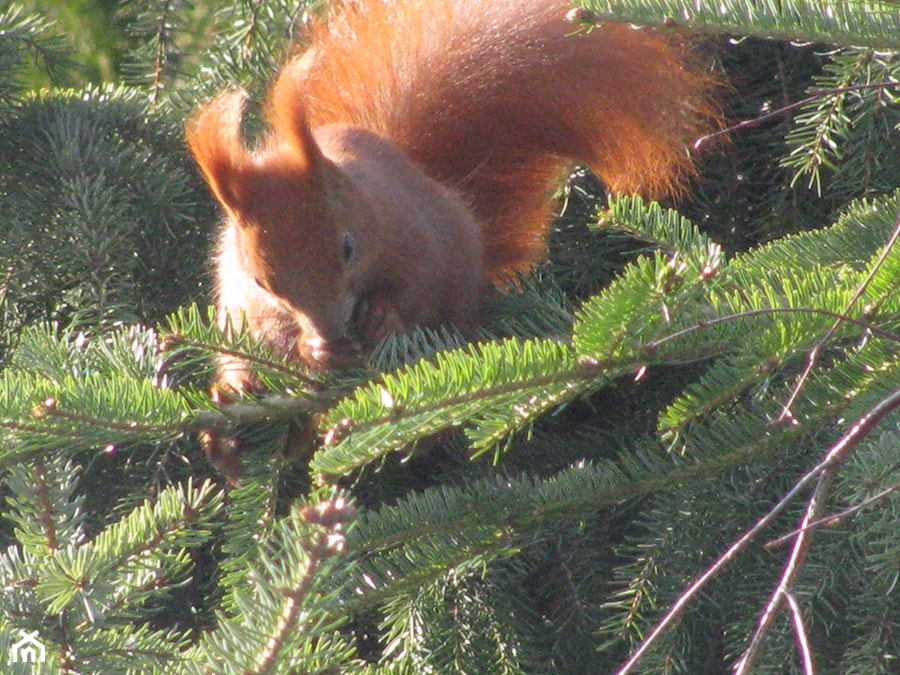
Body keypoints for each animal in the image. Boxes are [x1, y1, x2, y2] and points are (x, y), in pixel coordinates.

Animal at [186, 0, 720, 388]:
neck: (365, 200)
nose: (331, 331)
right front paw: (313, 349)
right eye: (262, 282)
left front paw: (383, 316)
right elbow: (271, 335)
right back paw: (231, 414)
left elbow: (418, 286)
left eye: (348, 248)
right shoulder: (242, 293)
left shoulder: (418, 235)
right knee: (242, 367)